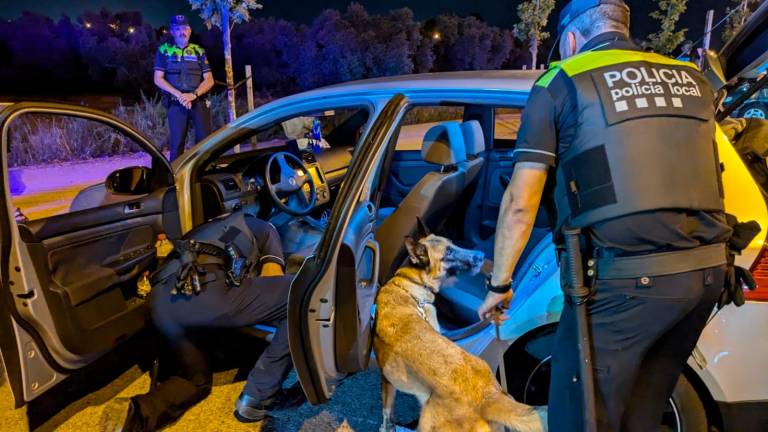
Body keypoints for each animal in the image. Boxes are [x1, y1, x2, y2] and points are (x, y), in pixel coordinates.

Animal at [372, 221, 544, 430]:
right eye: (448, 253)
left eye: (452, 243)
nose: (481, 255)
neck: (410, 284)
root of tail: (488, 395)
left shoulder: (386, 382)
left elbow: (386, 413)